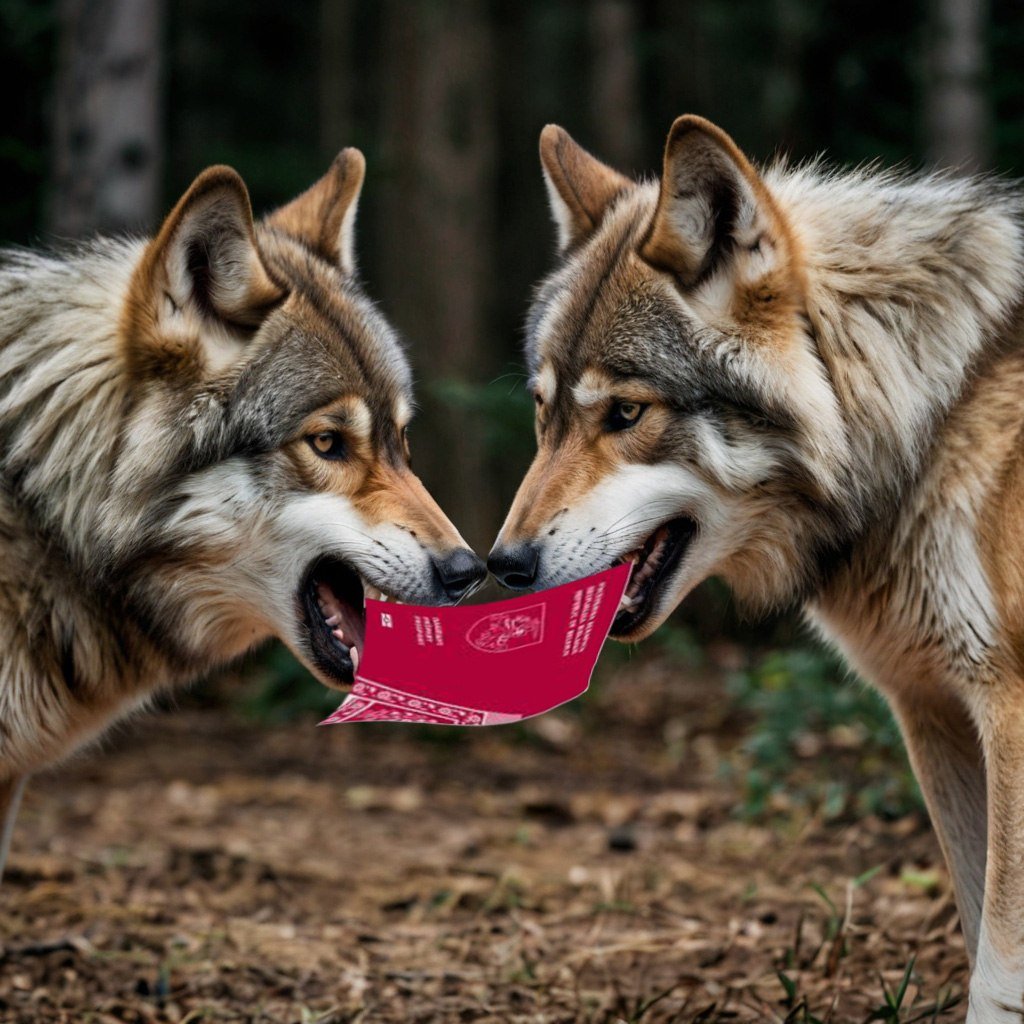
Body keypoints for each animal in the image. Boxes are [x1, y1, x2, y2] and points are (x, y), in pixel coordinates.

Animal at [487, 116, 1024, 1019]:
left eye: (625, 413)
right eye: (544, 412)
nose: (505, 565)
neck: (930, 421)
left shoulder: (1007, 714)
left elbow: (1000, 965)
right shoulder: (934, 713)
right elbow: (975, 915)